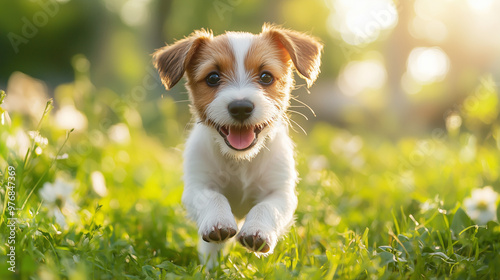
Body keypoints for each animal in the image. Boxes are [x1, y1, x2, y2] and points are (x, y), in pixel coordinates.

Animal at [153, 23, 324, 268]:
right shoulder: (197, 187)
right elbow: (214, 197)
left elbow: (267, 207)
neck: (240, 160)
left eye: (265, 77)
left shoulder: (281, 193)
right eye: (213, 78)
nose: (241, 107)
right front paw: (218, 222)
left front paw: (257, 231)